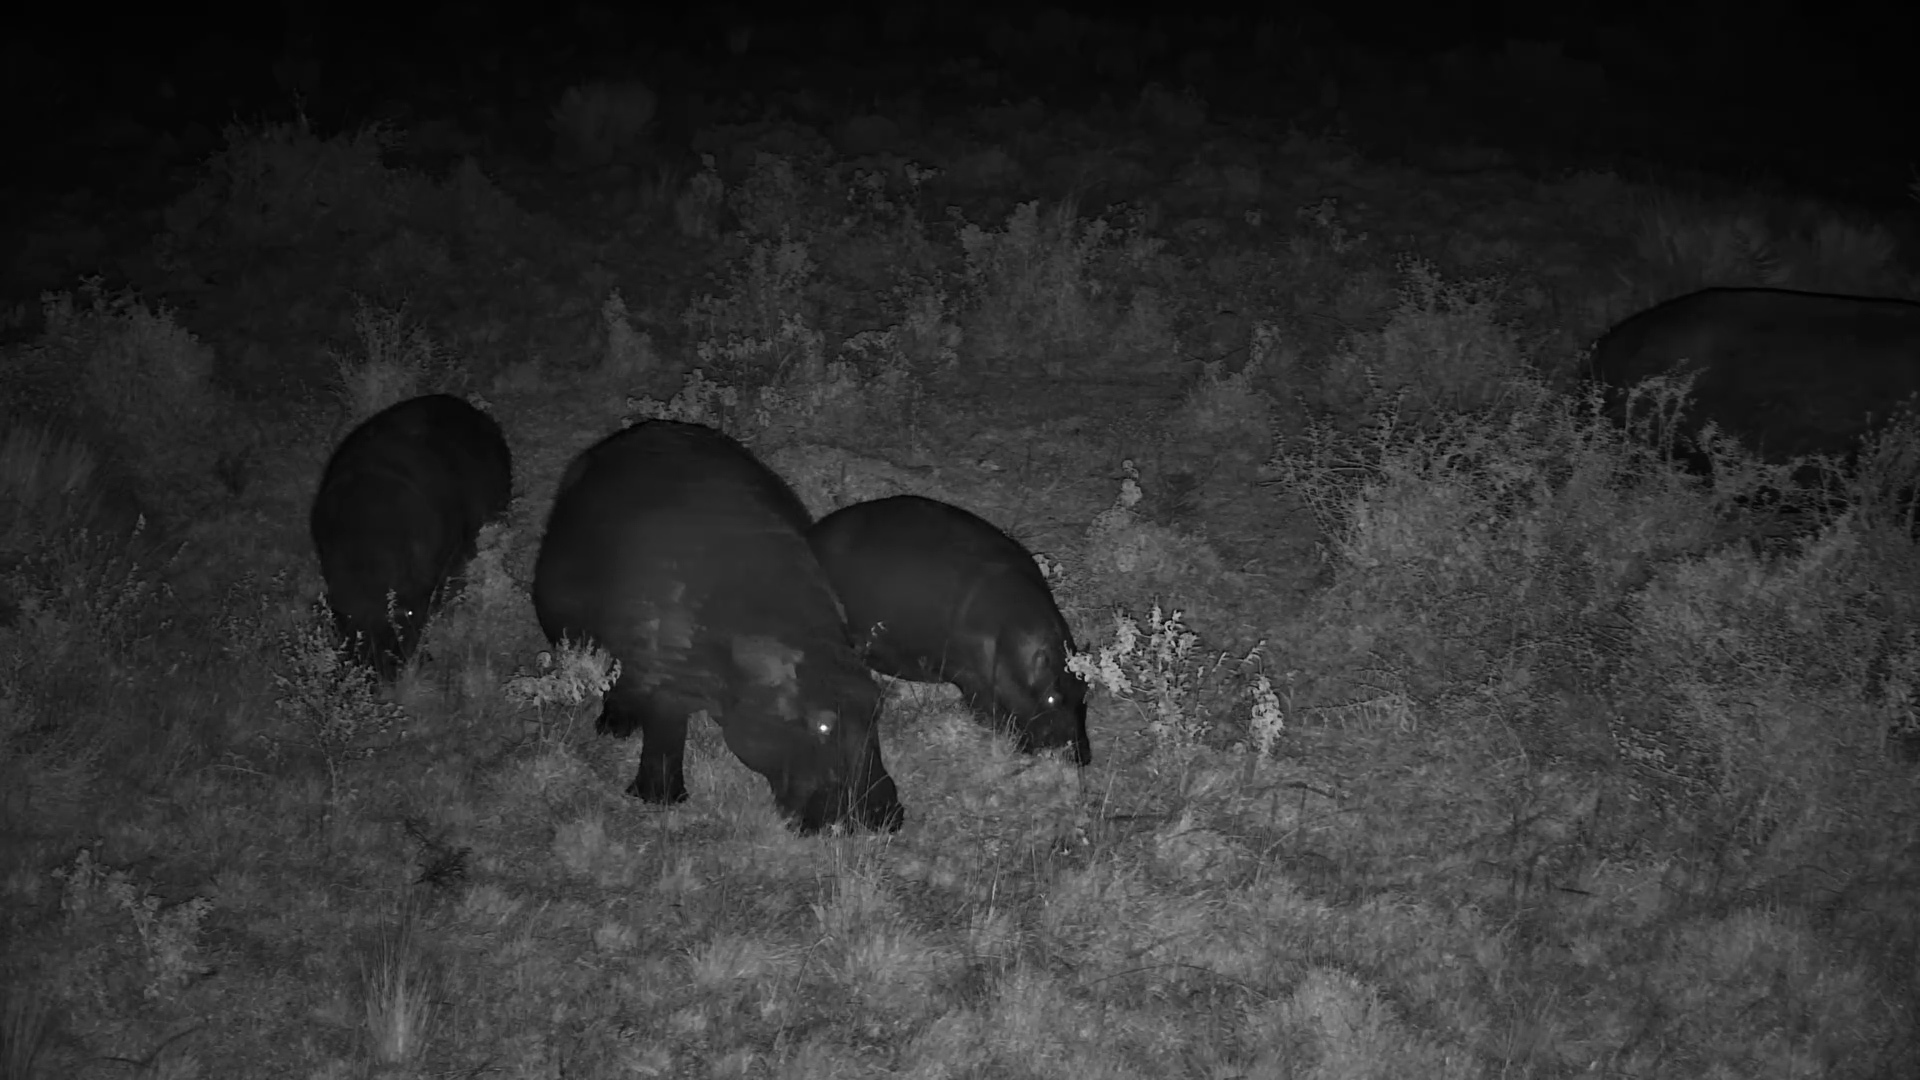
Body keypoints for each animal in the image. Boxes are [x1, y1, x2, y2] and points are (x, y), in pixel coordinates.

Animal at [531, 420, 902, 834]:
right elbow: (664, 735)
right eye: (823, 727)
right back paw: (615, 727)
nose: (886, 814)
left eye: (878, 703)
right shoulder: (663, 682)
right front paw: (659, 799)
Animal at [807, 494, 1090, 765]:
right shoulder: (972, 677)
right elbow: (989, 711)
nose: (1083, 756)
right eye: (1052, 698)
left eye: (1084, 689)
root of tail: (814, 531)